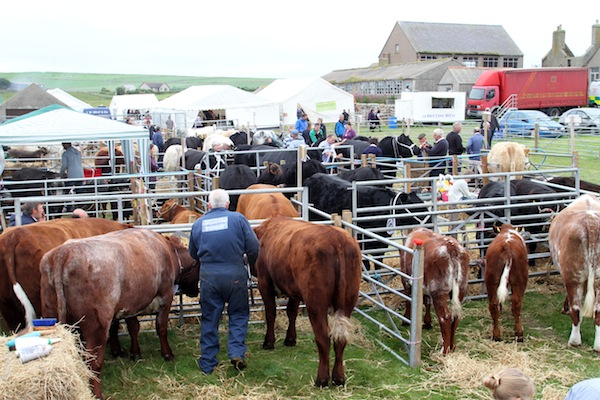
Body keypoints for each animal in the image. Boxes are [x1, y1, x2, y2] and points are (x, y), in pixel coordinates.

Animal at [39, 228, 200, 400]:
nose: (195, 291)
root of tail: (63, 252)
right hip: (97, 324)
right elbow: (161, 327)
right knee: (93, 361)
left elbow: (132, 327)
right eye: (197, 266)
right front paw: (167, 354)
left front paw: (133, 353)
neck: (168, 252)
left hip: (50, 315)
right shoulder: (166, 295)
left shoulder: (131, 303)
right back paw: (97, 394)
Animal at [253, 217, 360, 386]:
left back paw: (322, 379)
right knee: (340, 339)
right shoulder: (295, 291)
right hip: (348, 301)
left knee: (323, 337)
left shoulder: (264, 283)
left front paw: (269, 342)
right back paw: (338, 378)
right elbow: (292, 312)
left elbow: (271, 314)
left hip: (316, 303)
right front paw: (290, 339)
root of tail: (337, 239)